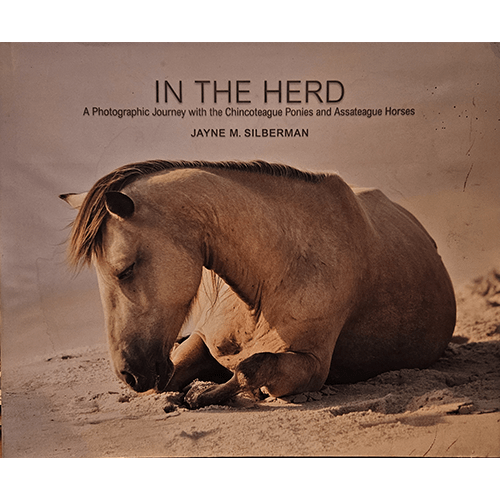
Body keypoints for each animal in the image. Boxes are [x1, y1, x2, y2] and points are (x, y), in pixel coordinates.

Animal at [59, 160, 458, 406]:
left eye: (124, 270)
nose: (129, 375)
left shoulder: (313, 365)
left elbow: (250, 368)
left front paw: (202, 395)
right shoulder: (200, 340)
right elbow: (180, 368)